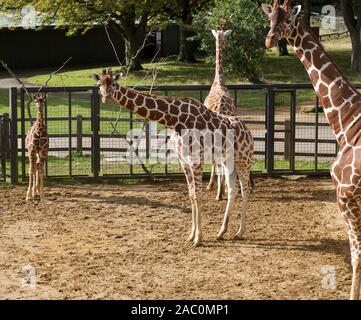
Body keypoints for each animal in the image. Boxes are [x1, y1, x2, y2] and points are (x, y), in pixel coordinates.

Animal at [90, 69, 253, 246]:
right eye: (99, 84)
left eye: (113, 83)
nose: (106, 98)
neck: (176, 120)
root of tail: (249, 132)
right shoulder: (185, 162)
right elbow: (192, 195)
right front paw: (191, 235)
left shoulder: (196, 161)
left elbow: (198, 196)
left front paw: (198, 238)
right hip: (229, 162)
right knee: (233, 190)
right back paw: (222, 232)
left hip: (244, 161)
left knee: (245, 190)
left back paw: (240, 232)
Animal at [260, 0, 360, 300]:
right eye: (269, 18)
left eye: (288, 20)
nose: (269, 39)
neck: (347, 122)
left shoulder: (346, 196)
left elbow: (356, 256)